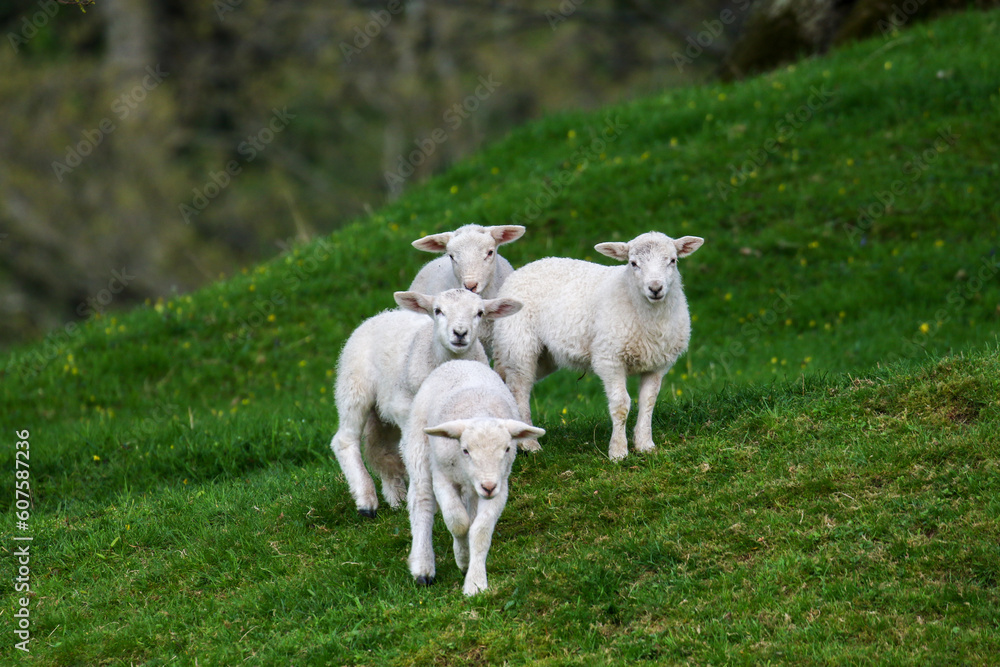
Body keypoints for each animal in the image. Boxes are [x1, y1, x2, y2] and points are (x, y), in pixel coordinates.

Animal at [330, 289, 522, 518]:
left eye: (480, 313)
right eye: (438, 311)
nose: (460, 333)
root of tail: (378, 316)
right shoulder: (405, 408)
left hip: (382, 414)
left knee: (381, 449)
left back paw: (396, 499)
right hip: (355, 387)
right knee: (345, 440)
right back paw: (366, 500)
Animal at [402, 359, 544, 596]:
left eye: (507, 449)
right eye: (465, 450)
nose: (488, 486)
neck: (478, 411)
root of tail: (460, 361)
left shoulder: (500, 486)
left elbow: (479, 531)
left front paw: (475, 582)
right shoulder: (442, 476)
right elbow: (457, 522)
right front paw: (463, 557)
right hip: (418, 446)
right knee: (422, 501)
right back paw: (423, 566)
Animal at [492, 231, 704, 461]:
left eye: (672, 260)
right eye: (633, 263)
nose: (655, 288)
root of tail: (525, 267)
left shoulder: (657, 363)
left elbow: (648, 402)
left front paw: (645, 445)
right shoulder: (609, 358)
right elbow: (621, 405)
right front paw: (618, 451)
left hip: (543, 357)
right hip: (519, 344)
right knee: (519, 389)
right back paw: (530, 444)